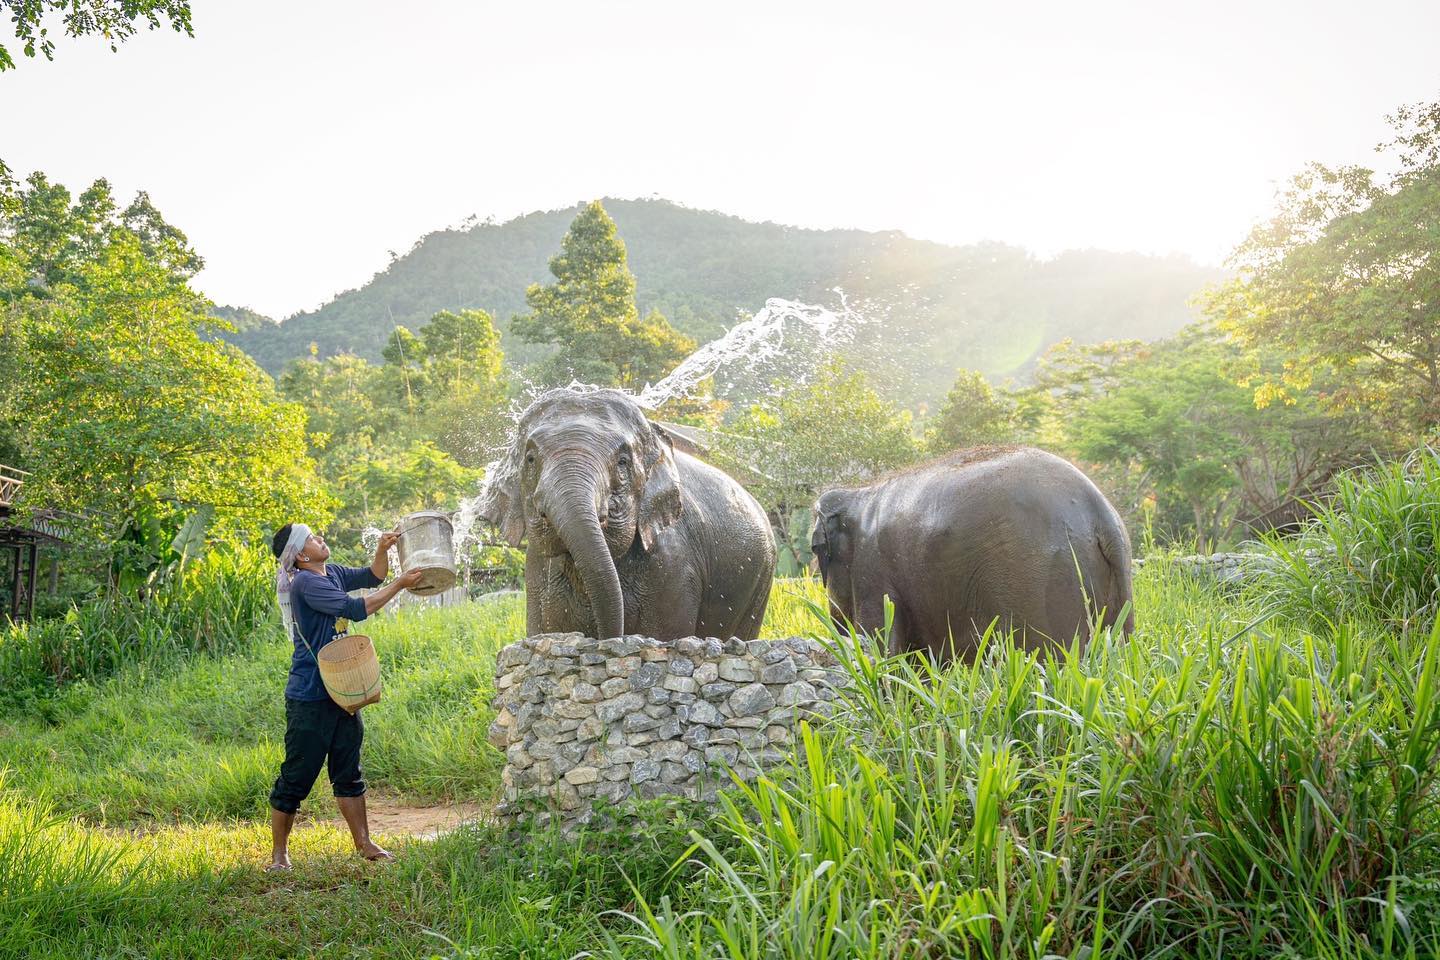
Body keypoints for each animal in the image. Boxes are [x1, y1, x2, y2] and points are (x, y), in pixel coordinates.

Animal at [480, 385, 777, 641]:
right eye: (530, 459)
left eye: (623, 462)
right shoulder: (536, 574)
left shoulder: (674, 566)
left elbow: (665, 636)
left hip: (762, 579)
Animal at [812, 446, 1134, 662]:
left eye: (816, 551)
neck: (858, 493)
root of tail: (1100, 510)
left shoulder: (873, 571)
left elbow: (881, 644)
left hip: (1043, 579)